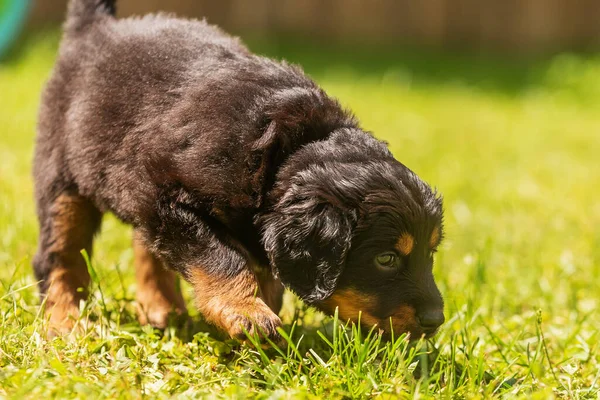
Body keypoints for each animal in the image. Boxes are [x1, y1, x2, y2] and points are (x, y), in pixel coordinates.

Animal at [34, 0, 446, 340]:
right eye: (386, 259)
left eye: (431, 252)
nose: (437, 320)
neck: (287, 150)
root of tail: (94, 29)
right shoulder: (164, 194)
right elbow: (221, 256)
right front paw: (245, 312)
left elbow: (265, 273)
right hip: (62, 181)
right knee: (60, 255)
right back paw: (65, 322)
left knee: (145, 244)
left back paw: (162, 308)